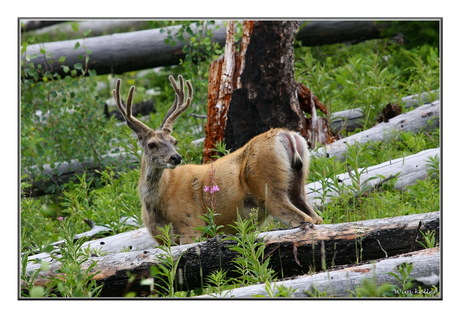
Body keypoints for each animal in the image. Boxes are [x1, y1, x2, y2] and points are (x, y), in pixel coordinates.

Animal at [114, 76, 324, 245]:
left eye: (174, 141)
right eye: (152, 144)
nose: (175, 157)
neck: (158, 201)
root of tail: (287, 135)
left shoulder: (191, 223)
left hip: (267, 186)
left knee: (304, 219)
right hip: (297, 182)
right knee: (317, 218)